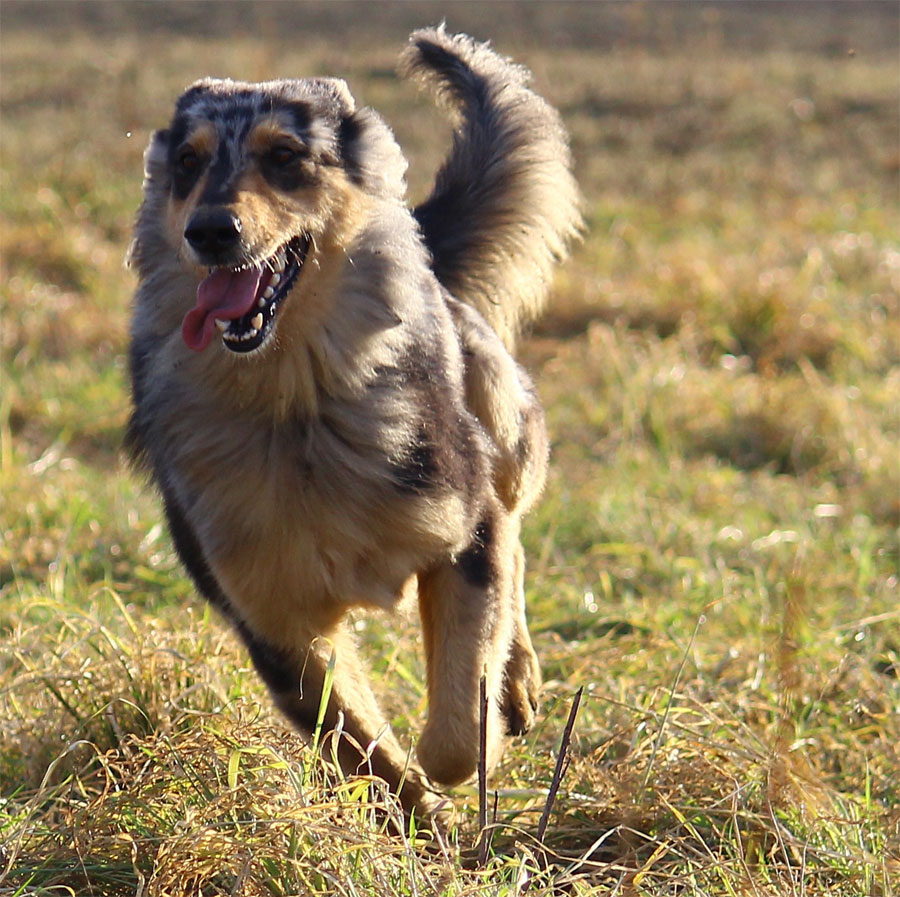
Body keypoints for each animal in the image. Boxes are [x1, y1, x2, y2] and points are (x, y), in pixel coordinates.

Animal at [126, 28, 580, 816]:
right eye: (187, 163)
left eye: (284, 157)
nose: (209, 231)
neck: (296, 402)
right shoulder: (278, 623)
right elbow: (364, 752)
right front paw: (421, 820)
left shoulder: (464, 536)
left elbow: (456, 729)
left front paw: (475, 747)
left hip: (502, 417)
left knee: (515, 519)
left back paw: (518, 678)